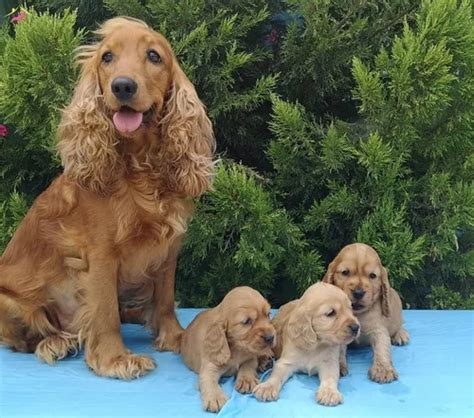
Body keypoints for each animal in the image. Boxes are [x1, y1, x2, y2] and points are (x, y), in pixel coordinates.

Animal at [0, 17, 215, 378]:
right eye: (107, 57)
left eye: (154, 56)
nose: (122, 86)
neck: (140, 168)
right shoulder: (100, 253)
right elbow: (104, 311)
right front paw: (115, 359)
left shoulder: (168, 248)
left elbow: (165, 298)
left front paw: (175, 337)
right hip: (11, 302)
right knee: (24, 339)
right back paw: (56, 342)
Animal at [324, 243, 410, 384]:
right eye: (345, 272)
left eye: (372, 276)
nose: (358, 293)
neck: (357, 313)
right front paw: (337, 365)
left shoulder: (378, 329)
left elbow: (382, 348)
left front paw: (383, 370)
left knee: (399, 324)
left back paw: (401, 335)